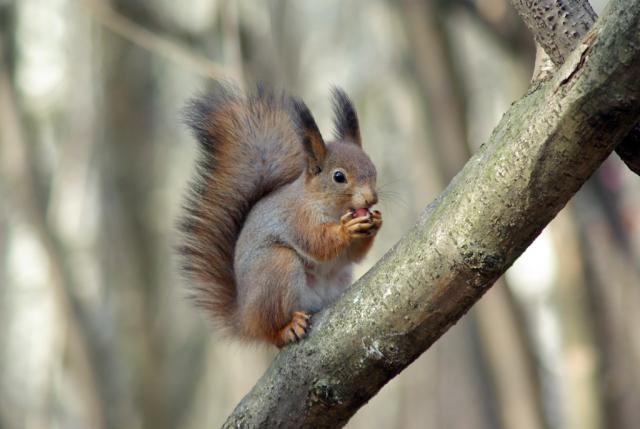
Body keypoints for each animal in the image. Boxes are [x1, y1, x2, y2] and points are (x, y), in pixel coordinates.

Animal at [176, 82, 380, 346]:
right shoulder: (296, 218)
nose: (371, 199)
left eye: (373, 168)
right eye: (339, 177)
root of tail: (244, 318)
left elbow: (354, 255)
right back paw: (287, 328)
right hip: (277, 268)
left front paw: (376, 222)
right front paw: (346, 229)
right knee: (270, 330)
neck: (329, 207)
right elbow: (317, 243)